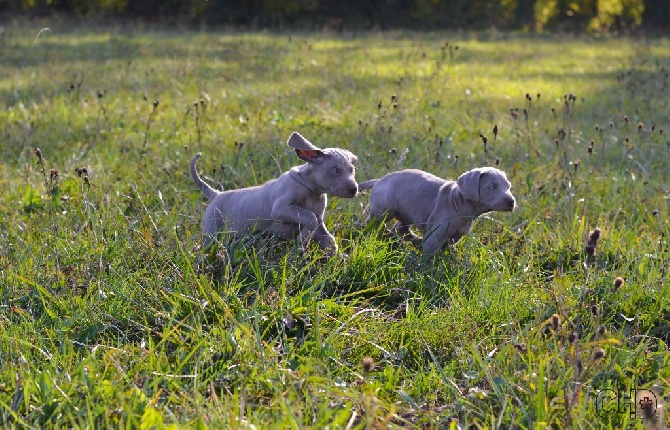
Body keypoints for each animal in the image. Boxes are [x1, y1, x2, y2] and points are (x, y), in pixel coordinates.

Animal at [193, 131, 362, 256]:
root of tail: (216, 194)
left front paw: (337, 258)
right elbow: (309, 217)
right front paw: (302, 240)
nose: (354, 189)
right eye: (334, 170)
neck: (312, 190)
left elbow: (328, 239)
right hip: (213, 227)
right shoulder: (281, 208)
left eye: (352, 170)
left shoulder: (319, 219)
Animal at [360, 167, 516, 255]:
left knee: (401, 229)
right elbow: (429, 254)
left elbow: (443, 249)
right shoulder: (435, 235)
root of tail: (378, 181)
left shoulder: (455, 237)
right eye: (492, 187)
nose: (511, 201)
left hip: (407, 212)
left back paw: (416, 241)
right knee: (372, 222)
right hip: (383, 211)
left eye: (508, 186)